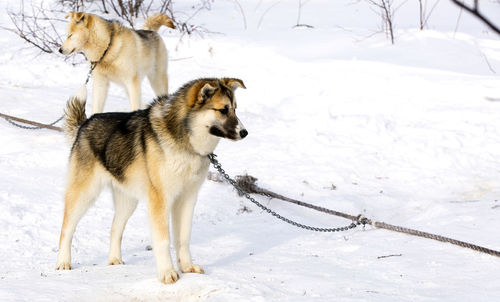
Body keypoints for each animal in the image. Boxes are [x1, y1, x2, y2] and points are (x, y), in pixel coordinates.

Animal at [55, 77, 248, 284]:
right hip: (84, 195)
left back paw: (114, 260)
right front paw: (167, 273)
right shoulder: (160, 200)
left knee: (115, 229)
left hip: (127, 201)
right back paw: (63, 262)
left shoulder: (187, 198)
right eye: (223, 110)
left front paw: (187, 267)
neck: (185, 144)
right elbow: (163, 240)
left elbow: (183, 238)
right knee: (66, 229)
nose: (244, 132)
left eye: (235, 108)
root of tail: (85, 124)